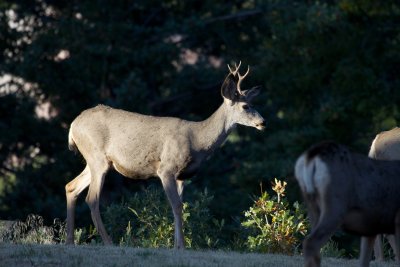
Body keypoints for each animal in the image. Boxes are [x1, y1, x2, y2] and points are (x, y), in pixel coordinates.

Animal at [65, 62, 266, 249]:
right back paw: (107, 242)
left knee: (71, 186)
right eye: (246, 106)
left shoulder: (181, 176)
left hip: (97, 161)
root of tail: (73, 125)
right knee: (92, 199)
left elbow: (178, 206)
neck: (198, 140)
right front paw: (182, 247)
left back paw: (70, 241)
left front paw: (176, 245)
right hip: (97, 157)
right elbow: (176, 206)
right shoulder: (166, 168)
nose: (263, 122)